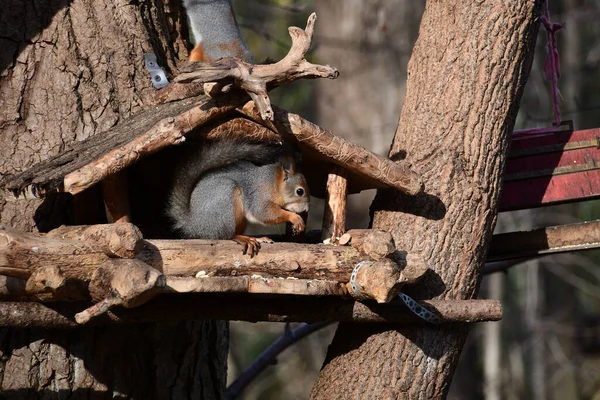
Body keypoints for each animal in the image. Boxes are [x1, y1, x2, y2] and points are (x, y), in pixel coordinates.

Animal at [168, 138, 312, 256]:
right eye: (300, 191)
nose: (306, 209)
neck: (271, 183)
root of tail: (194, 223)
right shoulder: (259, 198)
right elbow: (266, 214)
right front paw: (295, 218)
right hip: (225, 198)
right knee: (225, 235)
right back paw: (243, 239)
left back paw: (257, 238)